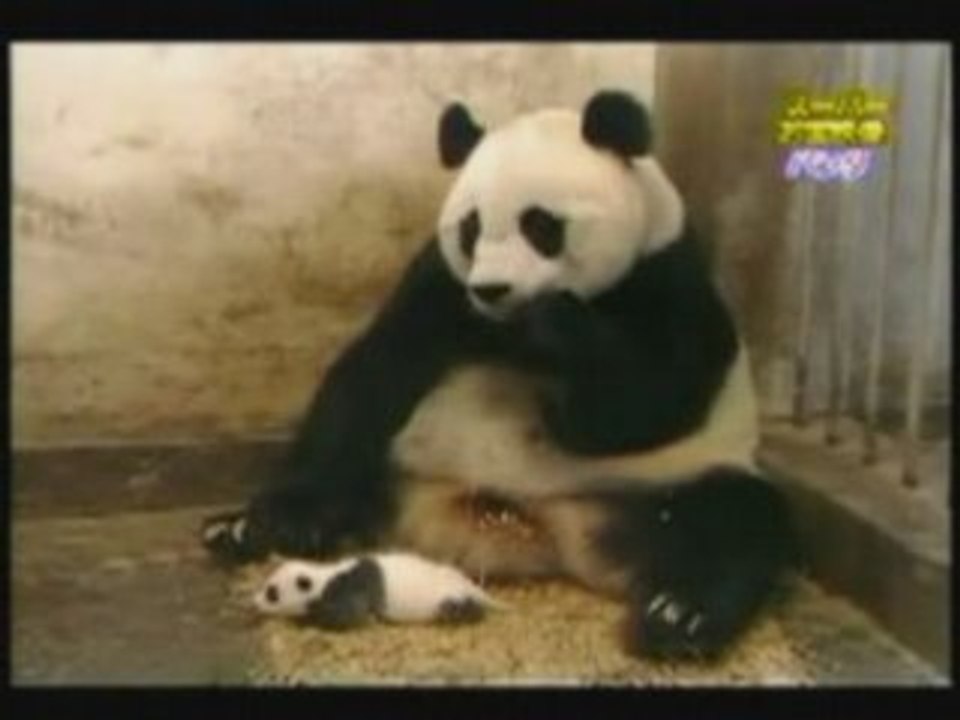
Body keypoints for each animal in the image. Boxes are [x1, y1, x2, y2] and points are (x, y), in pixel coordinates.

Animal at [202, 89, 795, 661]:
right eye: (471, 227)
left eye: (542, 225)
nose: (493, 289)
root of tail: (536, 531)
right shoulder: (441, 284)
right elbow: (375, 371)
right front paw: (290, 518)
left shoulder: (669, 279)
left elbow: (641, 406)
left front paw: (555, 328)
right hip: (402, 464)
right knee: (358, 474)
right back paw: (242, 530)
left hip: (661, 486)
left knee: (736, 520)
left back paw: (678, 616)